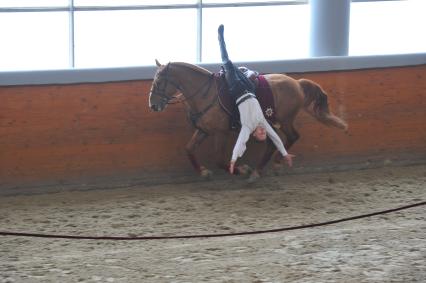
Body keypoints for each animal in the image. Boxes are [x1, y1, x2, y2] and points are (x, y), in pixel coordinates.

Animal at [148, 61, 348, 183]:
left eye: (159, 81)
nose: (153, 105)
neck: (207, 94)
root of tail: (297, 84)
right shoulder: (204, 130)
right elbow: (189, 149)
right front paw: (204, 172)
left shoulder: (220, 133)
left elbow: (219, 159)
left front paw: (242, 170)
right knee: (274, 143)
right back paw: (263, 169)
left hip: (284, 120)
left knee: (291, 137)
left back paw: (269, 166)